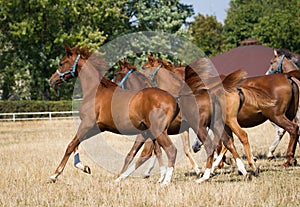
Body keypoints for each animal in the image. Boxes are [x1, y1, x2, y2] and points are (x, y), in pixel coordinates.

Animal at [49, 45, 180, 184]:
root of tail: (173, 100)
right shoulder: (97, 127)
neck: (95, 91)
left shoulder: (87, 124)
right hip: (151, 132)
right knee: (153, 152)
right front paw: (84, 167)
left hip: (158, 131)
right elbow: (76, 144)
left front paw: (55, 174)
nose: (51, 80)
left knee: (170, 150)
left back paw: (165, 182)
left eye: (61, 63)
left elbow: (70, 145)